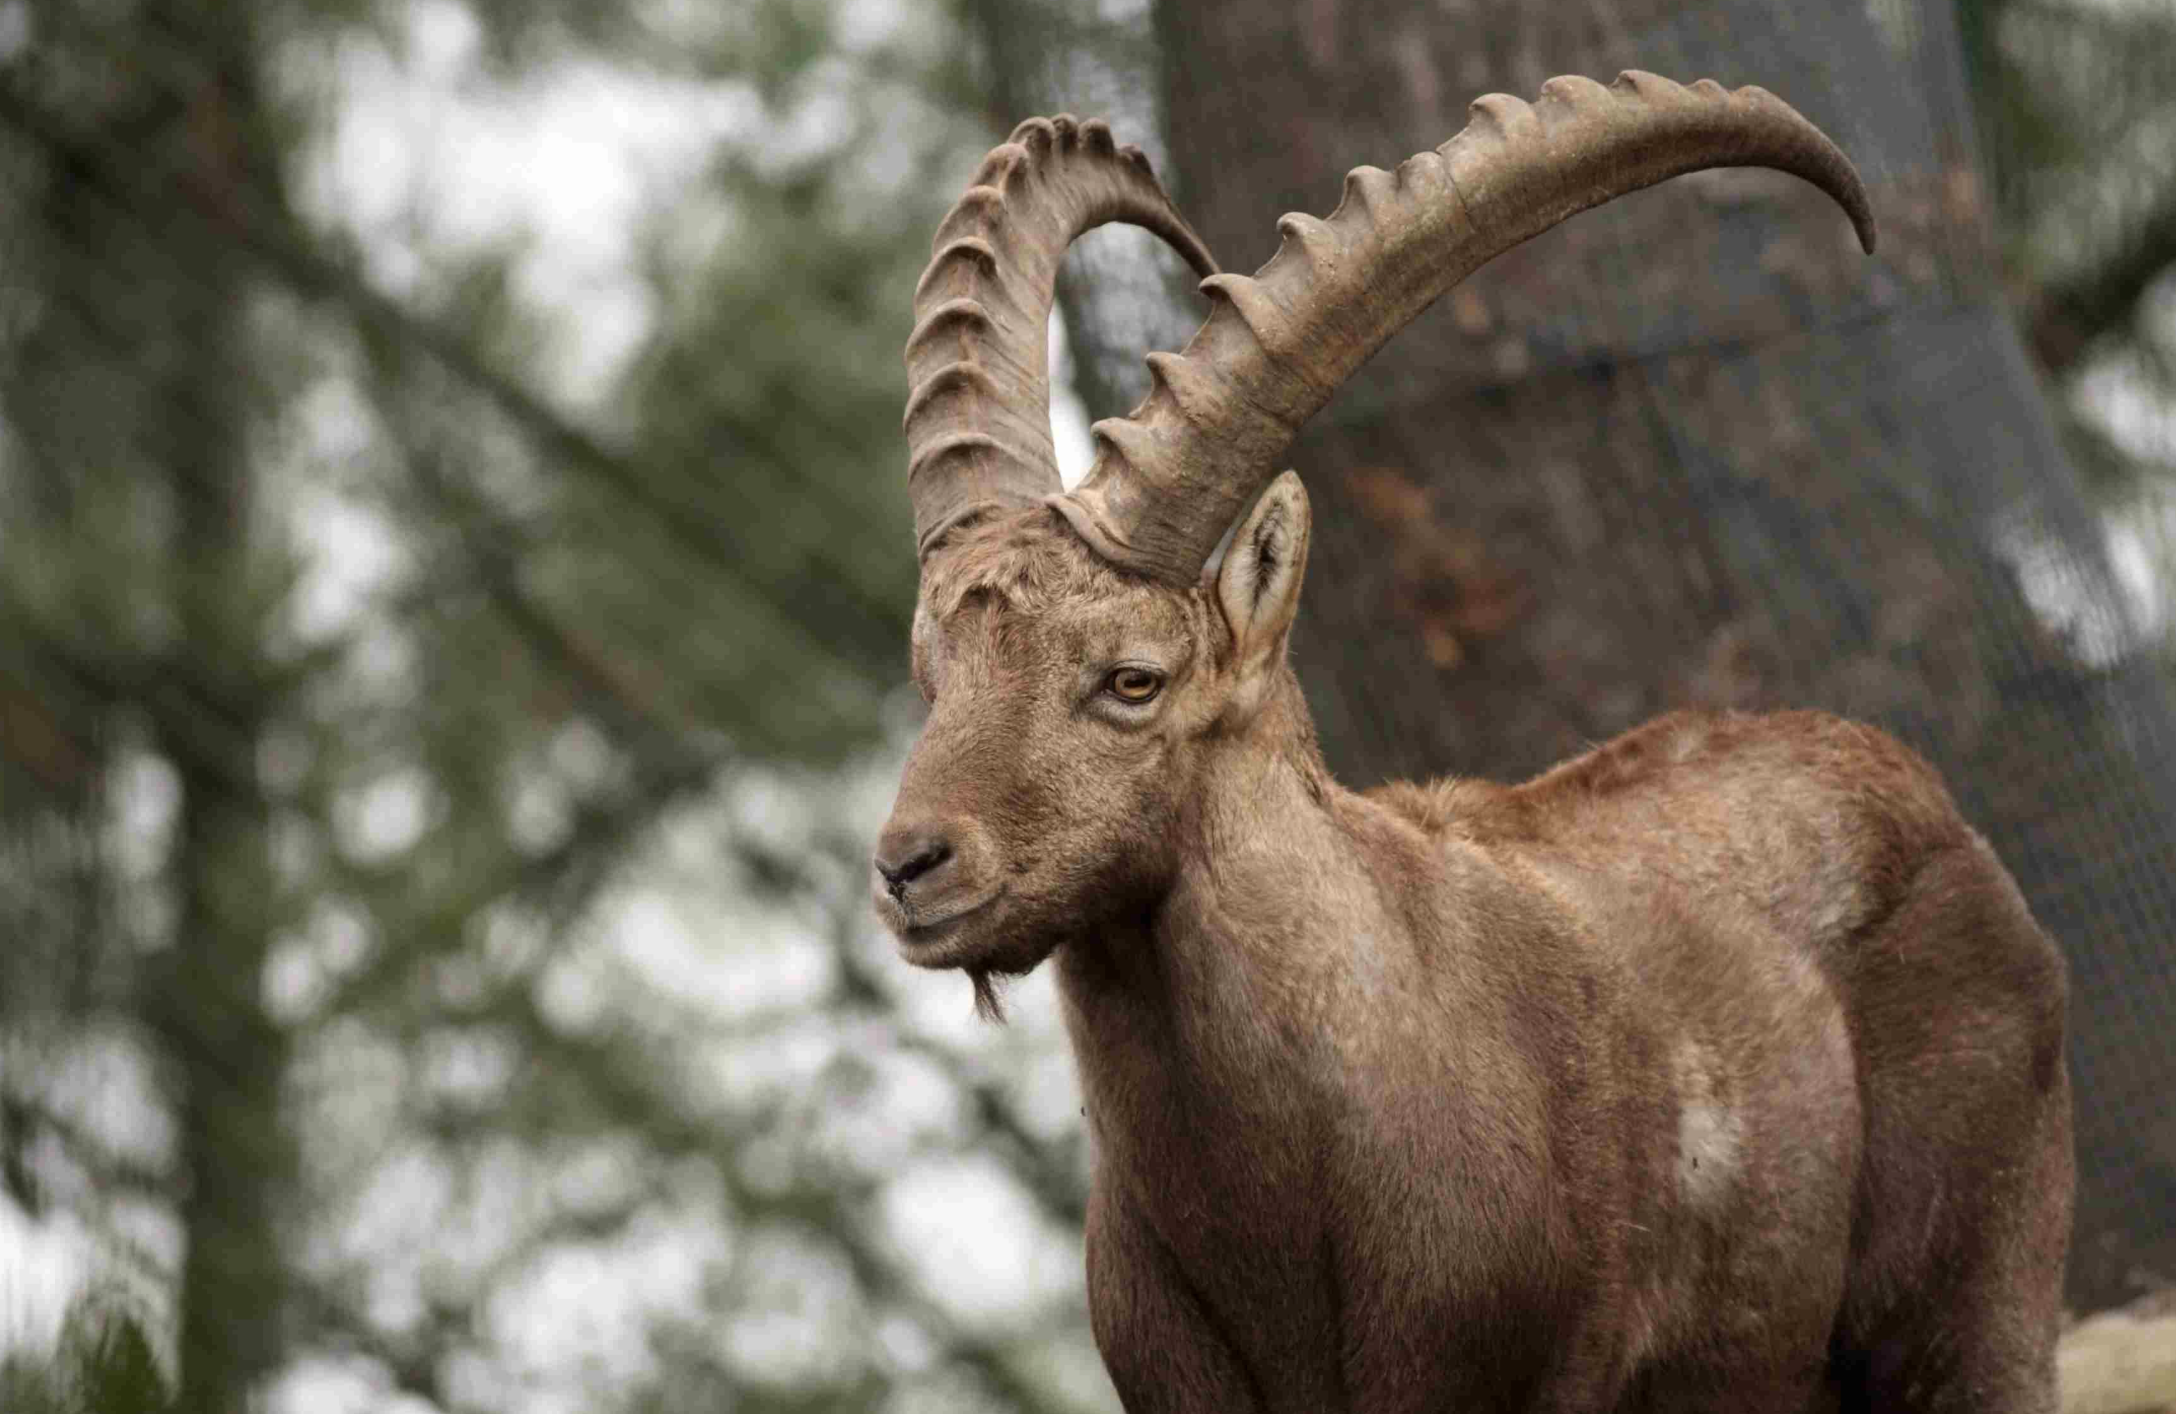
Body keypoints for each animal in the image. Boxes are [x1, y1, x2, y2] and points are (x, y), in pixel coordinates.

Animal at [874, 74, 2073, 1413]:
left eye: (1133, 678)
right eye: (935, 676)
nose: (909, 867)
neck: (1289, 1194)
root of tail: (1928, 801)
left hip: (1978, 1303)